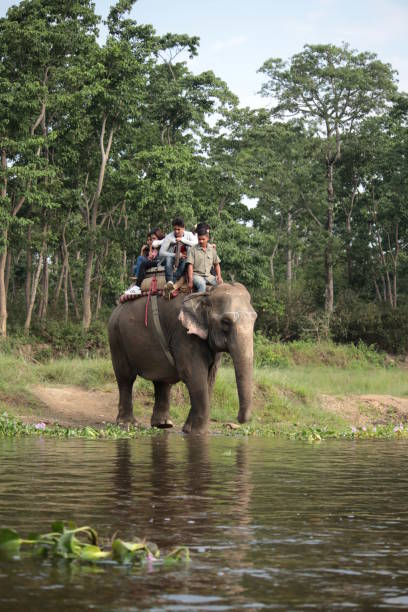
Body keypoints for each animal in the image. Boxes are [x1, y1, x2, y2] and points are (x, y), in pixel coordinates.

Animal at [107, 284, 256, 436]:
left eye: (255, 319)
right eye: (225, 322)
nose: (239, 419)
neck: (207, 294)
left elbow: (209, 378)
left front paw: (188, 430)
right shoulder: (183, 334)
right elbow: (194, 375)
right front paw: (198, 432)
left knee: (162, 382)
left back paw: (163, 424)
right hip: (116, 337)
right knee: (126, 378)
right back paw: (128, 424)